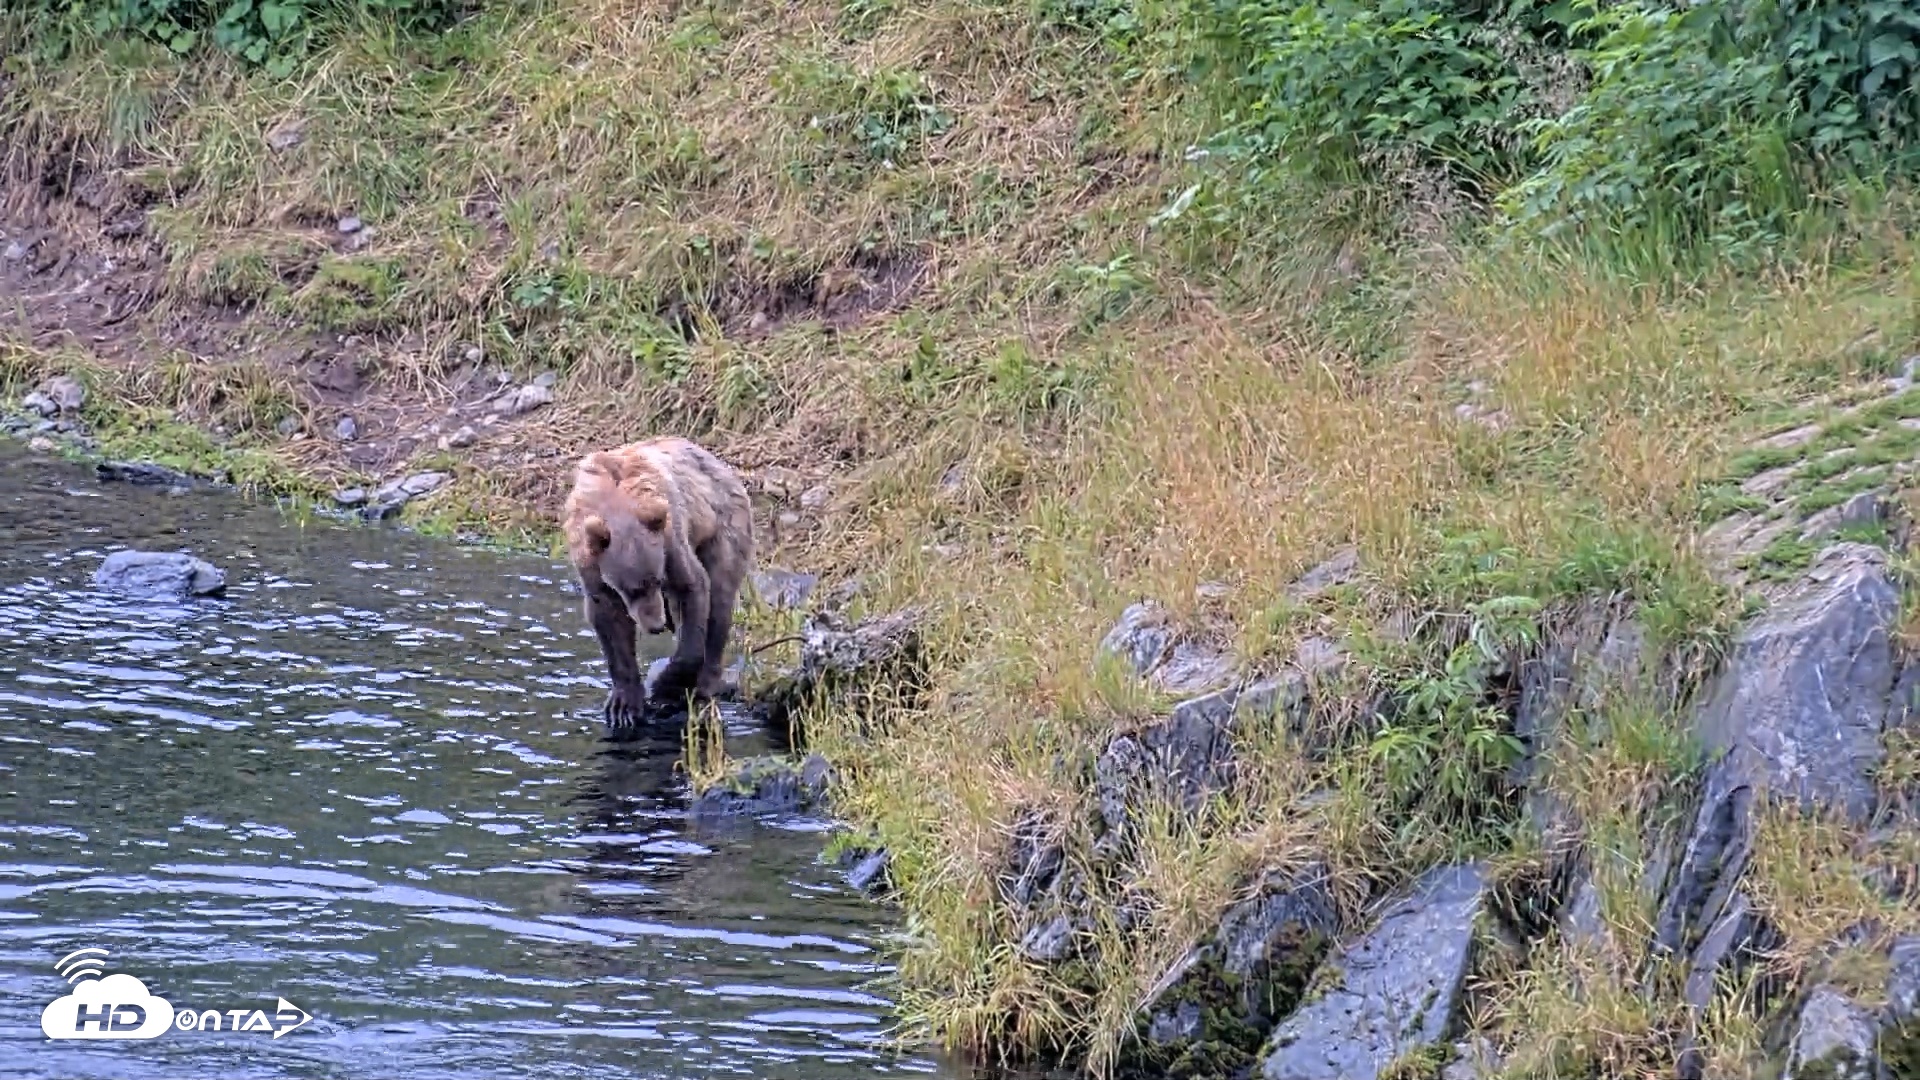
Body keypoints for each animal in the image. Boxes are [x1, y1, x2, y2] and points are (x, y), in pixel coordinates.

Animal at [560, 436, 755, 727]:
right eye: (630, 589)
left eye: (658, 579)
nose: (656, 625)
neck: (615, 503)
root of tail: (723, 465)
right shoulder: (590, 565)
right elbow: (608, 621)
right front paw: (624, 705)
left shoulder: (670, 542)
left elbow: (692, 588)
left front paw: (666, 685)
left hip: (722, 529)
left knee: (719, 603)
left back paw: (703, 690)